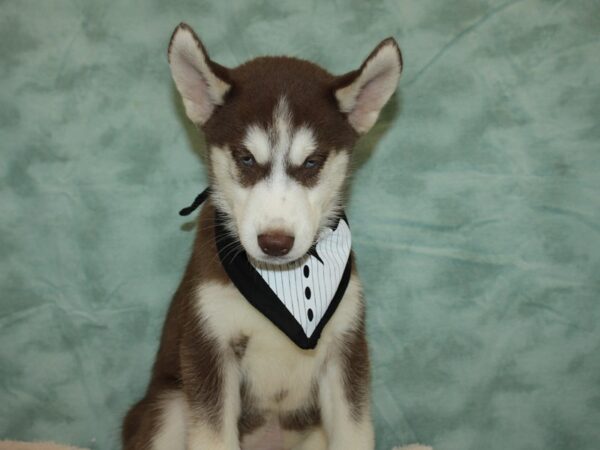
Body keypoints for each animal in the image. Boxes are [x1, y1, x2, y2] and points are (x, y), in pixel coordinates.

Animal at [122, 23, 418, 450]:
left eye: (312, 163)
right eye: (246, 159)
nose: (275, 242)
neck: (283, 283)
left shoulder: (346, 352)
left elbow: (354, 430)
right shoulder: (208, 346)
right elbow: (214, 436)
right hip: (169, 404)